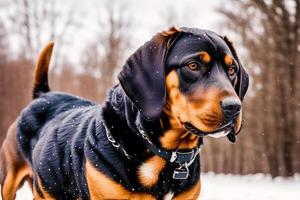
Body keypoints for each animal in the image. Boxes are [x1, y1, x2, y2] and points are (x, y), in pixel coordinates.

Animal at [0, 27, 248, 200]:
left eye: (232, 70)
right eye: (193, 65)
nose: (234, 107)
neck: (164, 155)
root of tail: (42, 95)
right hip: (10, 180)